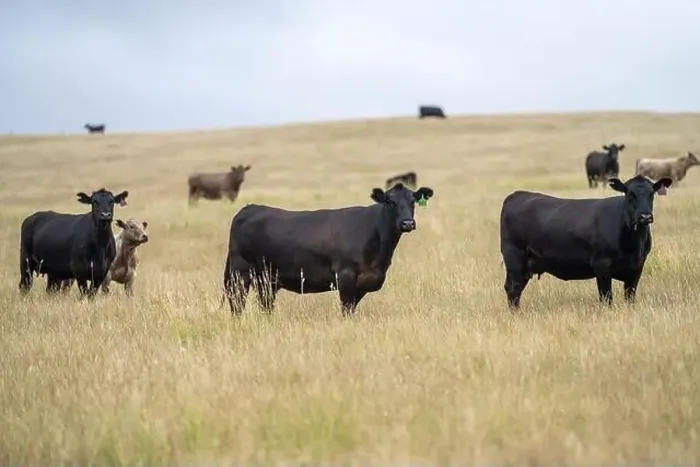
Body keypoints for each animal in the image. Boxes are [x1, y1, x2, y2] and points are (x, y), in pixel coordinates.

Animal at [222, 182, 435, 315]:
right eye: (390, 201)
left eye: (413, 201)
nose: (407, 223)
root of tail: (250, 208)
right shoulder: (346, 276)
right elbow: (346, 310)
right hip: (239, 274)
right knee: (237, 304)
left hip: (267, 280)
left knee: (265, 305)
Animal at [499, 174, 672, 309]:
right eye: (630, 195)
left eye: (652, 194)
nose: (645, 217)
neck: (633, 245)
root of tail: (517, 195)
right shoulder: (602, 266)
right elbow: (606, 298)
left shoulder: (637, 268)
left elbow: (630, 296)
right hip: (514, 257)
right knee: (513, 288)